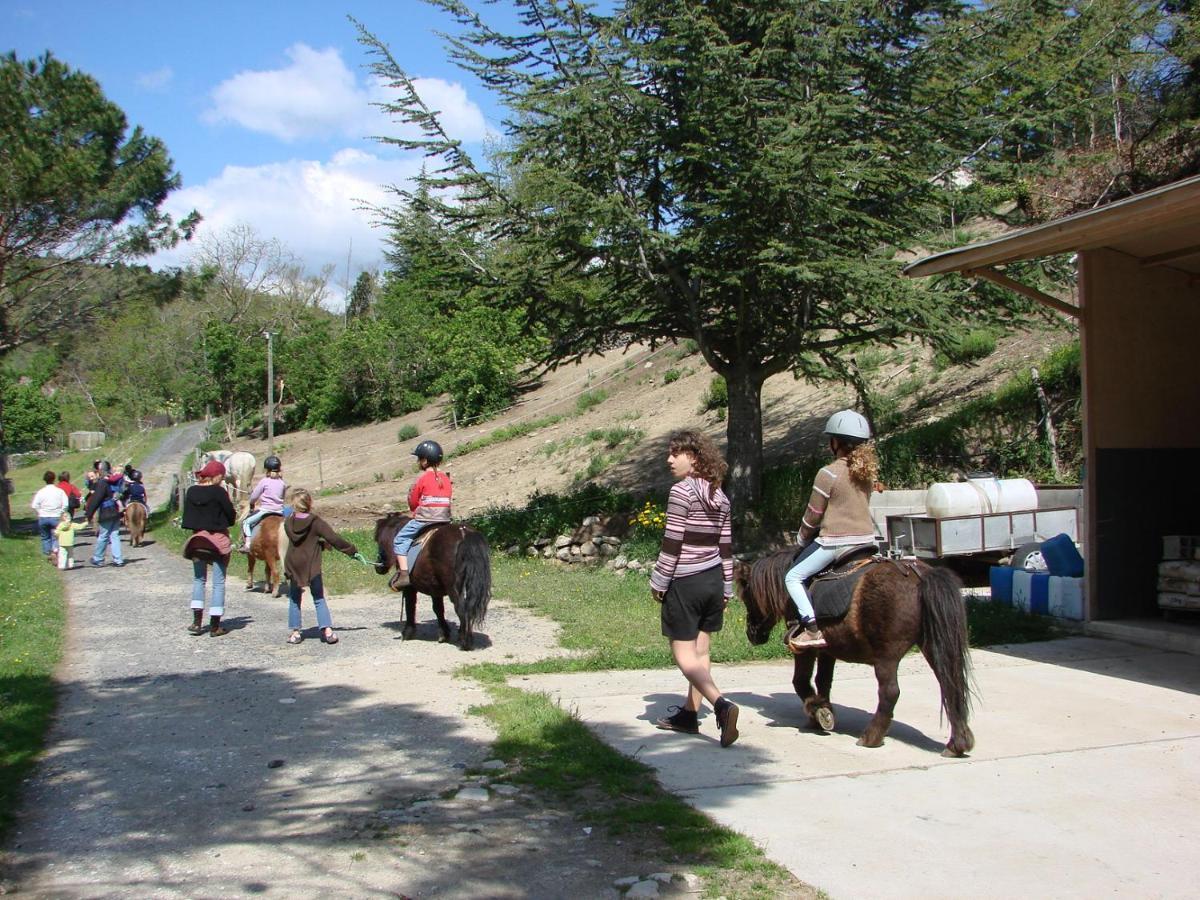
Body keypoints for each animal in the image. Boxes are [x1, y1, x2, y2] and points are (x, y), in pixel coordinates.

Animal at [372, 518, 489, 652]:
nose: (378, 567)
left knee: (461, 608)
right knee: (468, 607)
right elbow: (438, 609)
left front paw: (407, 632)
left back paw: (465, 642)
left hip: (454, 588)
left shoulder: (410, 588)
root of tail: (463, 533)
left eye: (378, 540)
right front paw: (444, 633)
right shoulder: (435, 589)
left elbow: (410, 606)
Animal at [729, 554, 974, 758]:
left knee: (890, 692)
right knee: (951, 685)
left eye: (746, 595)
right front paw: (822, 711)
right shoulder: (827, 650)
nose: (752, 634)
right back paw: (957, 743)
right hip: (933, 645)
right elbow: (823, 681)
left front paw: (818, 712)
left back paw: (871, 737)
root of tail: (918, 574)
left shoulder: (806, 650)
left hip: (886, 657)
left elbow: (800, 681)